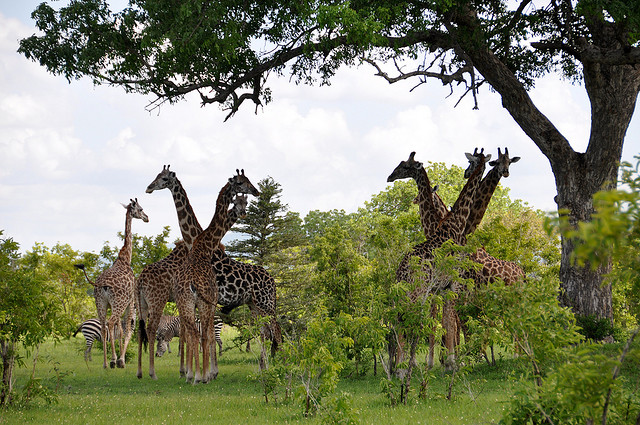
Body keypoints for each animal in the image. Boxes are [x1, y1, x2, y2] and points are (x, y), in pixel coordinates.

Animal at [83, 198, 148, 369]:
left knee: (104, 325)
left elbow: (120, 329)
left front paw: (118, 357)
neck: (125, 258)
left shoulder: (115, 304)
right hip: (119, 302)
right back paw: (112, 360)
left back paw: (106, 363)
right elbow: (127, 330)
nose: (147, 218)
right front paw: (121, 359)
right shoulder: (131, 300)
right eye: (140, 209)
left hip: (100, 302)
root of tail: (102, 285)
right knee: (111, 323)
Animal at [174, 170, 259, 383]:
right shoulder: (209, 302)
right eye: (240, 182)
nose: (256, 191)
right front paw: (207, 373)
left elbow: (206, 335)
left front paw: (206, 373)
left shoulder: (209, 302)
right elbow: (206, 335)